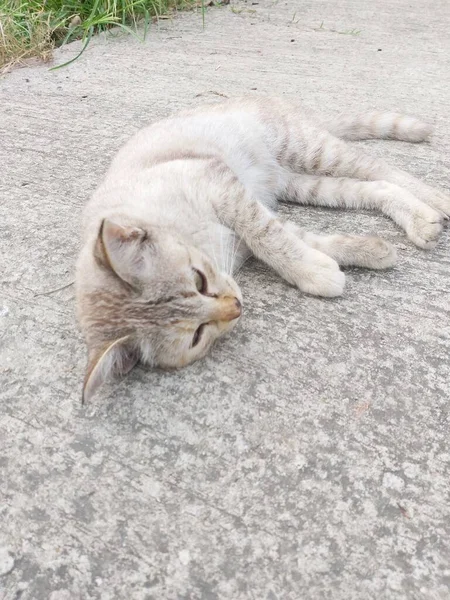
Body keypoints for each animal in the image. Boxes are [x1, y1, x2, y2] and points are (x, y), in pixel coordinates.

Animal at [75, 96, 448, 404]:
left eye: (198, 280)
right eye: (196, 335)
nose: (236, 306)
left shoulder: (226, 191)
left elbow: (269, 239)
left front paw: (313, 271)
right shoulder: (249, 222)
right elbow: (301, 240)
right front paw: (358, 254)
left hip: (310, 151)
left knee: (383, 169)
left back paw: (438, 201)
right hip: (304, 184)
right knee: (374, 187)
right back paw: (419, 221)